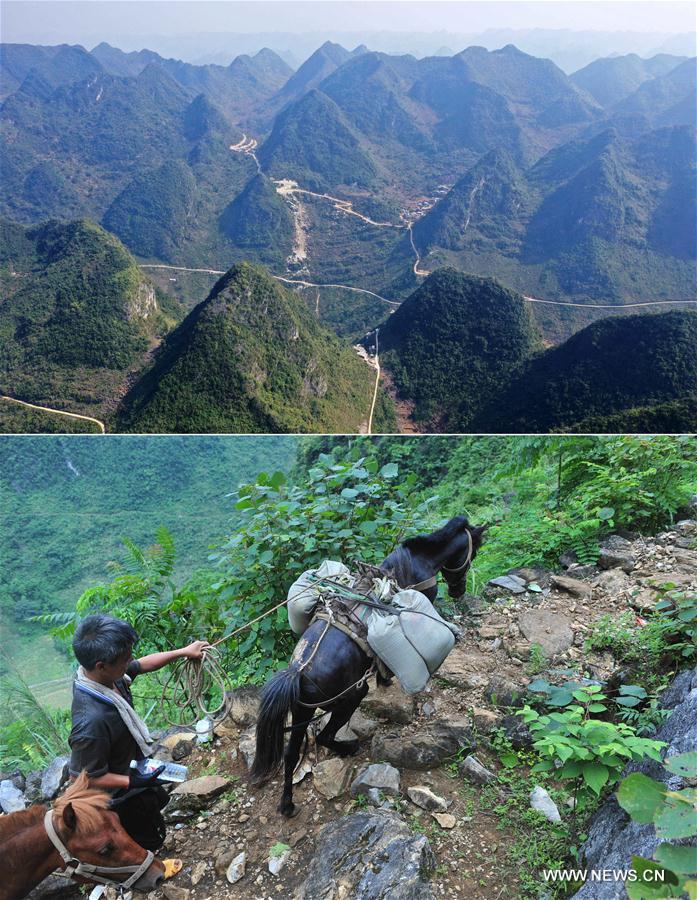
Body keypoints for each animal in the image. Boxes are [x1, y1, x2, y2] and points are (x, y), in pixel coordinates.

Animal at [249, 512, 484, 816]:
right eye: (473, 552)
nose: (459, 591)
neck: (417, 561)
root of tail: (297, 672)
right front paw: (387, 679)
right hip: (349, 698)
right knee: (324, 737)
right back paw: (349, 748)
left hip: (301, 712)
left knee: (290, 755)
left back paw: (287, 804)